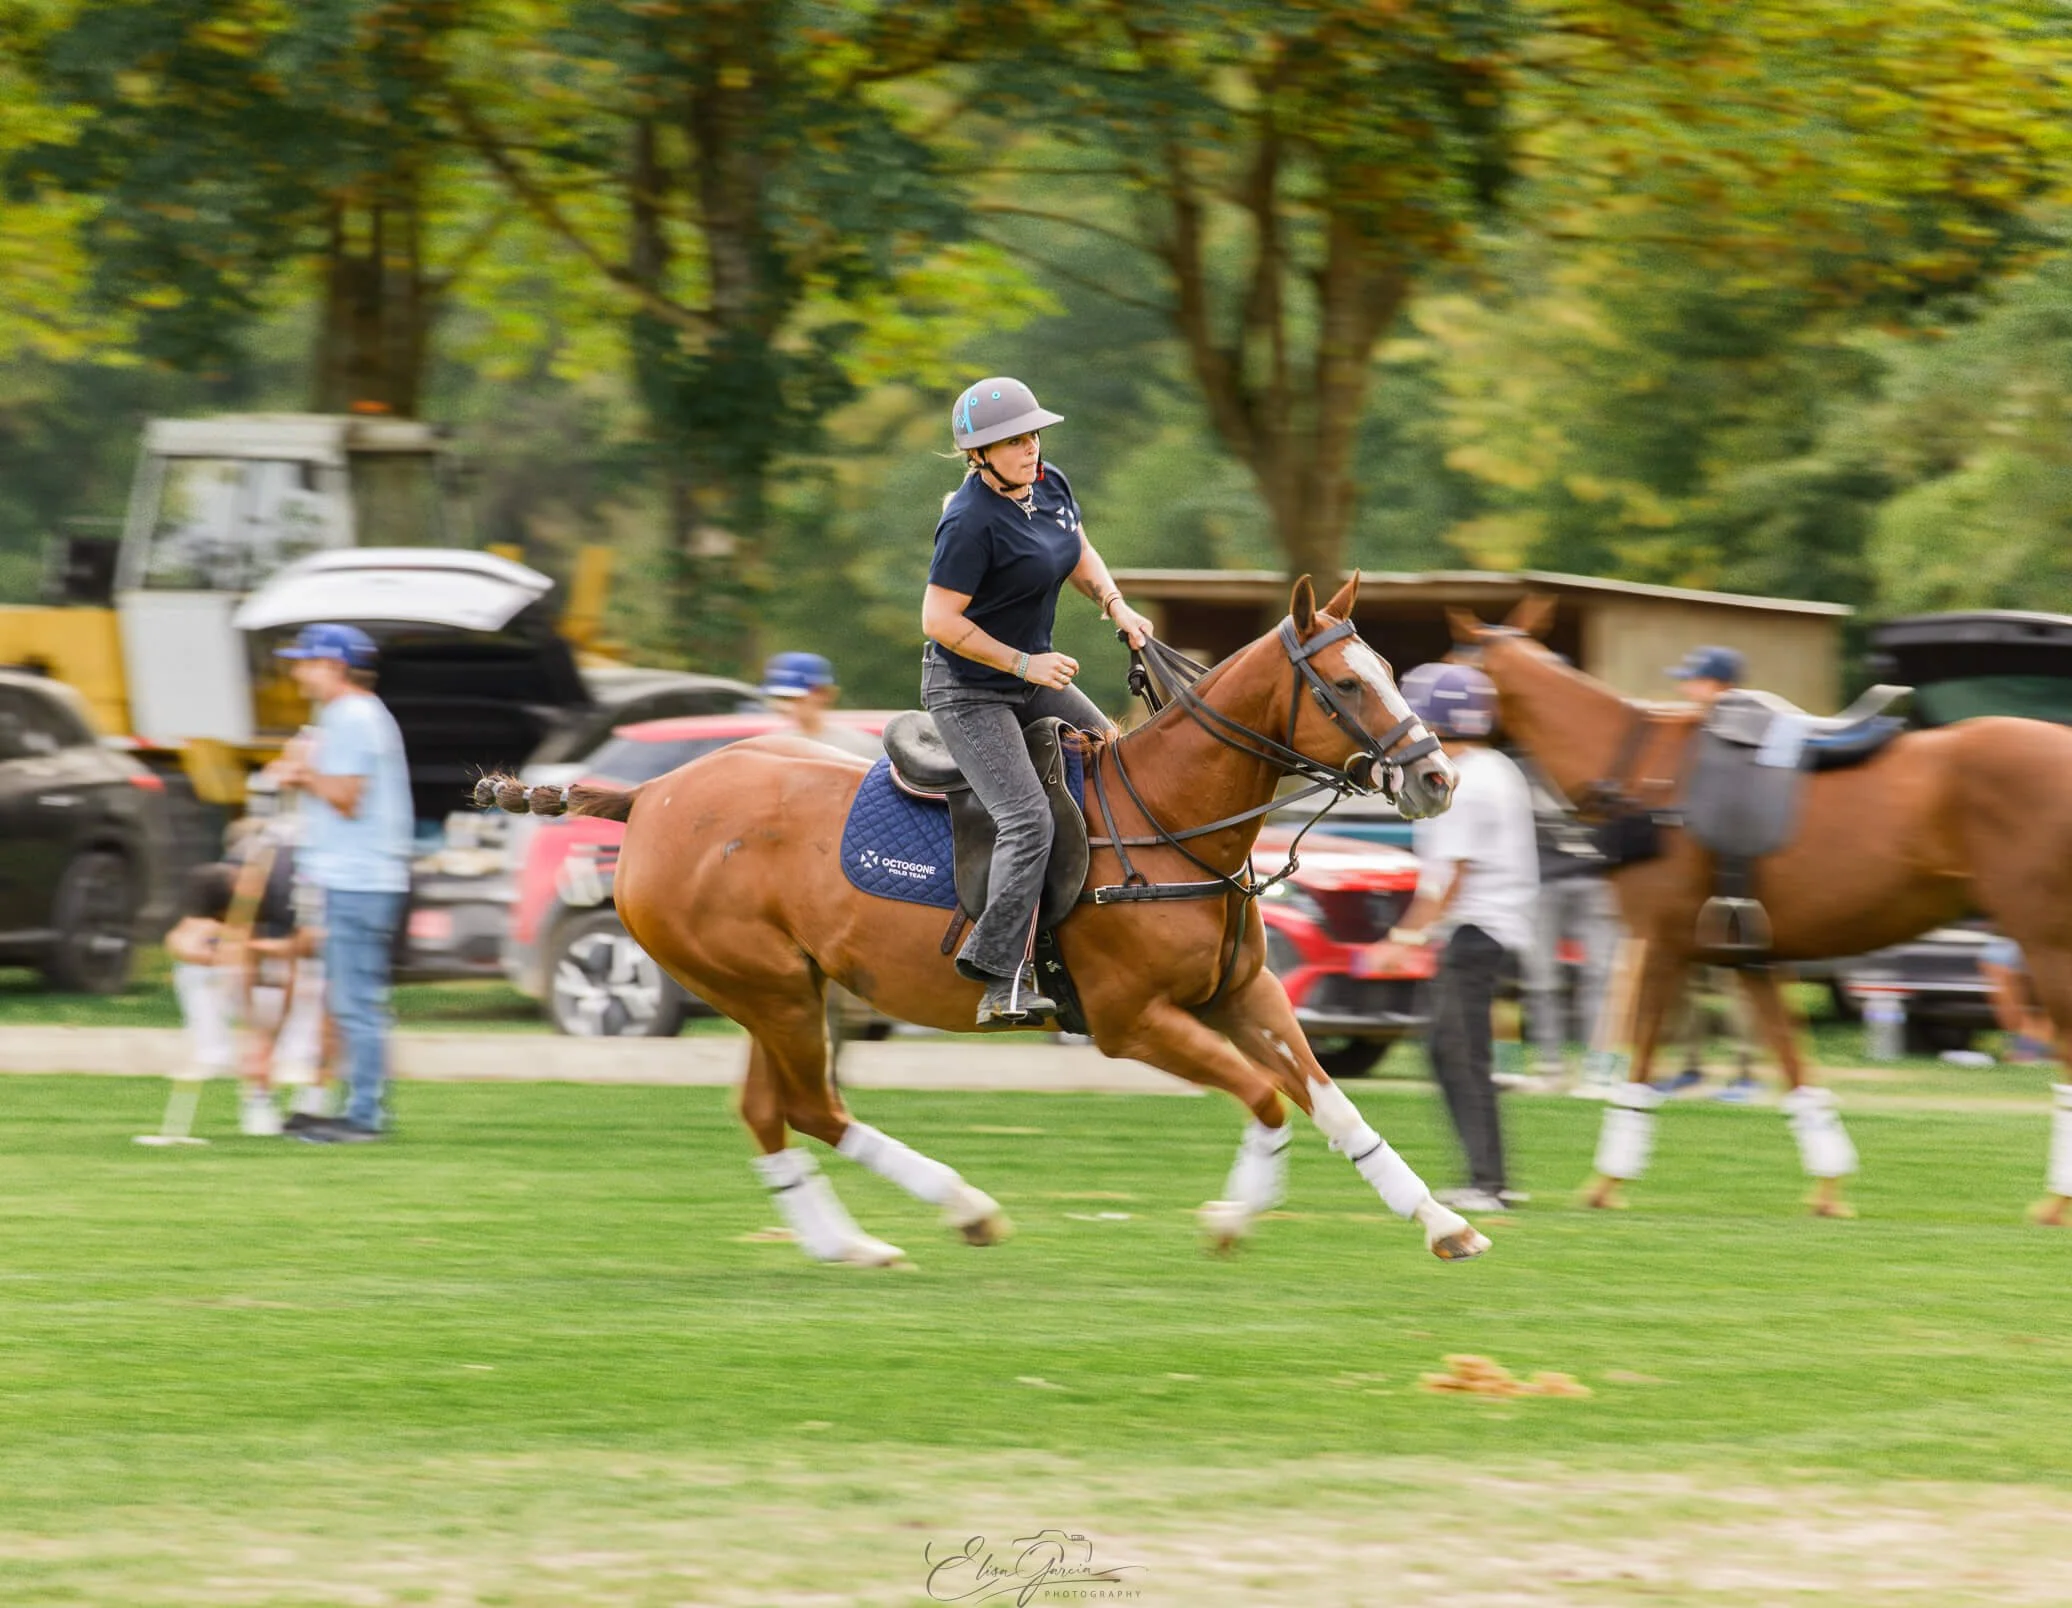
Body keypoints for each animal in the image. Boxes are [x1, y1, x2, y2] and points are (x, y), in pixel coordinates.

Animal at [479, 575, 1495, 1267]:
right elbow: (1266, 1098)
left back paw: (851, 1244)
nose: (1436, 777)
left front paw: (1443, 1221)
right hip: (765, 986)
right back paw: (959, 1208)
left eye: (1389, 669)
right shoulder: (1130, 1022)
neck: (1172, 821)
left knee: (772, 1111)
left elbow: (1329, 1100)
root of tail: (648, 794)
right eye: (1348, 686)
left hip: (788, 986)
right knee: (809, 1106)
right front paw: (1231, 1218)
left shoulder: (1242, 994)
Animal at [1457, 598, 2072, 1223]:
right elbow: (1793, 1064)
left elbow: (1643, 1055)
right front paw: (1828, 1188)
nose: (1436, 765)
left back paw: (2055, 1201)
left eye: (1449, 664)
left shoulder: (1659, 941)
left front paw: (1607, 1180)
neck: (1640, 774)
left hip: (2046, 942)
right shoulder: (1750, 955)